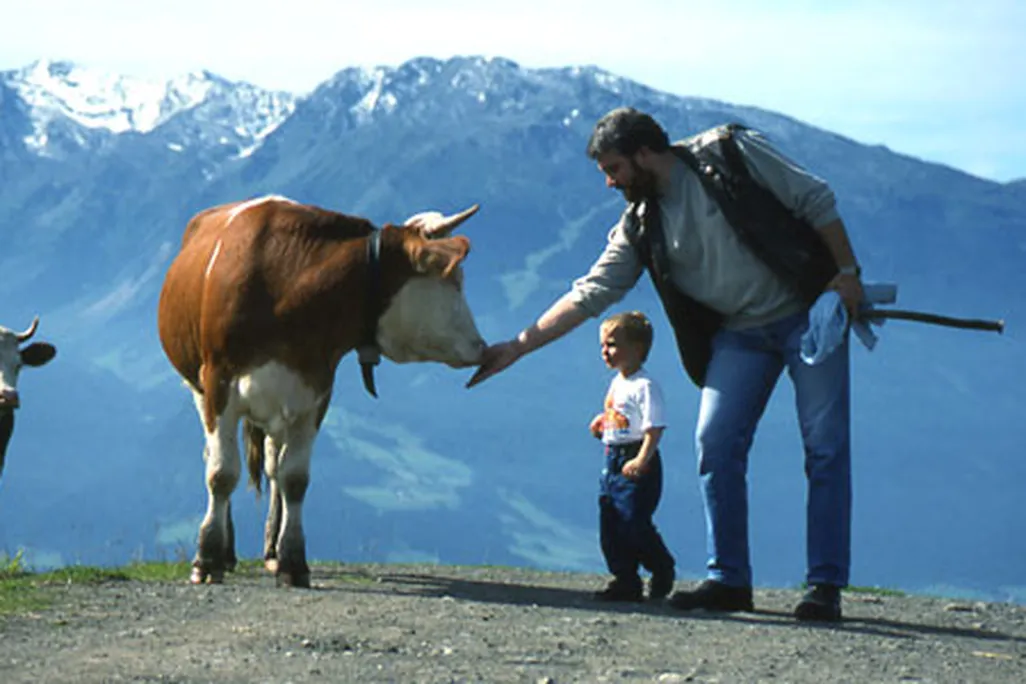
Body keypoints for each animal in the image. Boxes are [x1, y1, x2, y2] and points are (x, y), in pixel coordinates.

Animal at [157, 195, 486, 587]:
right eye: (455, 281)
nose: (482, 347)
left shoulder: (315, 392)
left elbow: (294, 478)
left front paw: (292, 561)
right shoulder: (219, 383)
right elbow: (221, 473)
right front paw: (207, 559)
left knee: (273, 467)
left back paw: (270, 550)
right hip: (199, 386)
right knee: (218, 458)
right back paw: (228, 551)